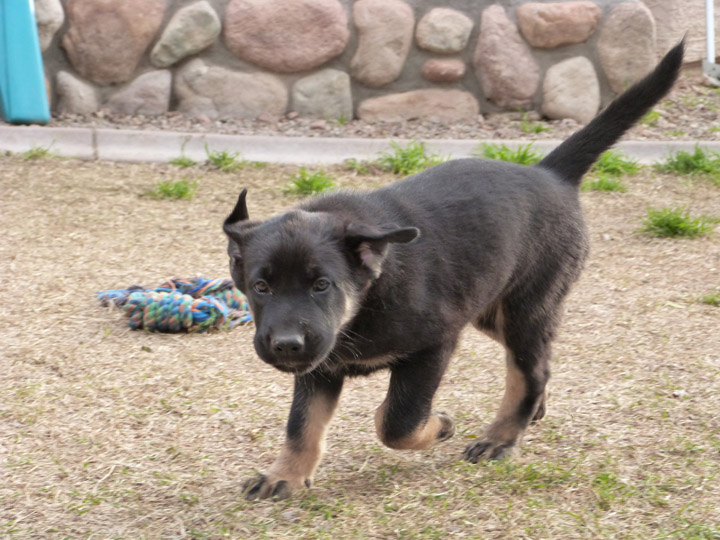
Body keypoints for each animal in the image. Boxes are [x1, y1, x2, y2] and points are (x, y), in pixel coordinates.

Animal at [226, 42, 688, 502]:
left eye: (322, 285)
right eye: (260, 286)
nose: (287, 345)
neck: (369, 295)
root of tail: (550, 173)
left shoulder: (434, 345)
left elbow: (397, 421)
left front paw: (441, 425)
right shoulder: (321, 365)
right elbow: (302, 424)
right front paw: (284, 475)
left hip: (525, 307)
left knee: (529, 370)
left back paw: (501, 438)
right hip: (490, 306)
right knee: (542, 358)